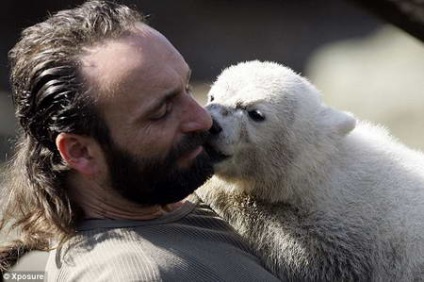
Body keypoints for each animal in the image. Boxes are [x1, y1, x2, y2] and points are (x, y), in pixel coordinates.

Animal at [197, 60, 424, 280]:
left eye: (255, 113)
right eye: (213, 96)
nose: (212, 124)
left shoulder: (360, 240)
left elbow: (306, 255)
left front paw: (212, 189)